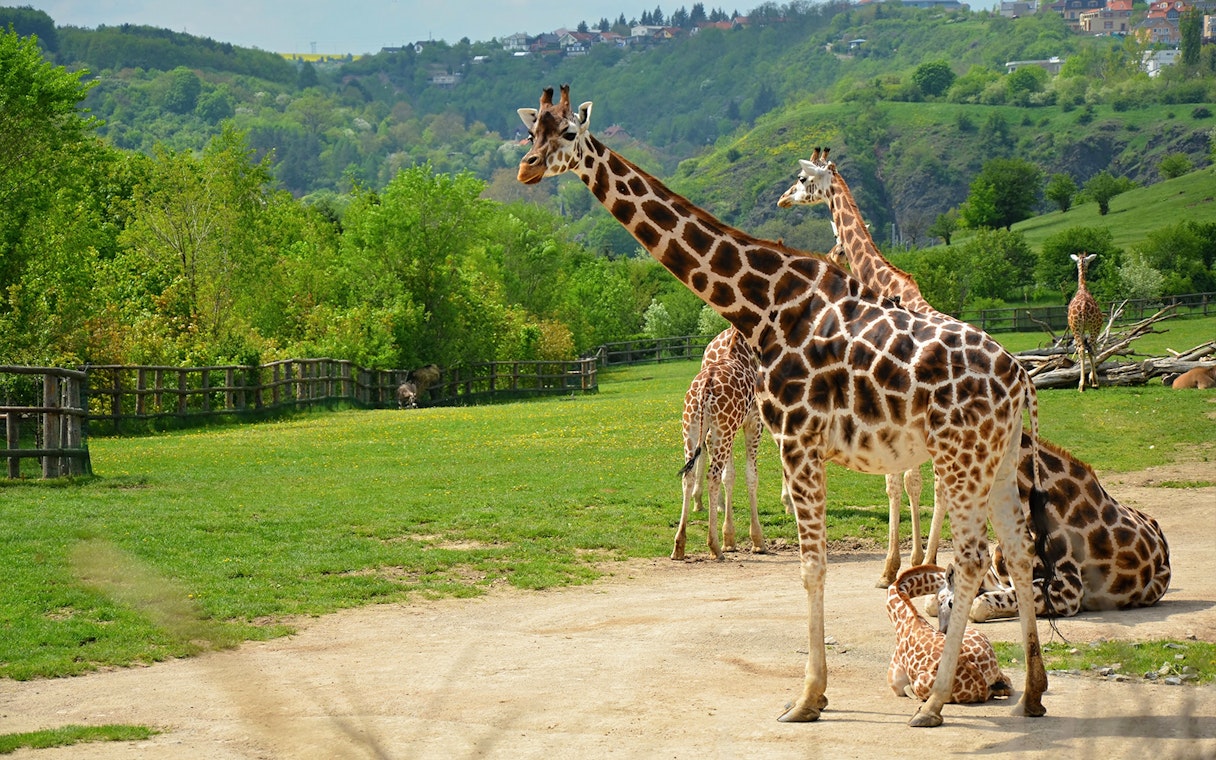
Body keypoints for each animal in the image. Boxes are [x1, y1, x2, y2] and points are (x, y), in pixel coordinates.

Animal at [673, 327, 767, 560]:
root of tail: (704, 390)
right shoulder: (753, 423)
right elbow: (751, 476)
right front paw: (757, 541)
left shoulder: (730, 429)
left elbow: (730, 475)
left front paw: (730, 539)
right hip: (721, 432)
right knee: (712, 476)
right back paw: (713, 545)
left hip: (692, 430)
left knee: (688, 475)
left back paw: (679, 546)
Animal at [777, 149, 939, 589]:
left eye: (802, 178)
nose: (782, 200)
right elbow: (909, 483)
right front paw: (911, 559)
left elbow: (899, 483)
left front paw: (892, 567)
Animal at [886, 565, 1011, 704]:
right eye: (951, 603)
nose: (945, 630)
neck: (902, 618)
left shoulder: (896, 682)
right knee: (1008, 686)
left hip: (924, 687)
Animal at [1068, 253, 1103, 392]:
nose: (1087, 269)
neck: (1083, 288)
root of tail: (1083, 307)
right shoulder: (1095, 327)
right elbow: (1092, 349)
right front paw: (1093, 379)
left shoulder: (1082, 329)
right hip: (1093, 327)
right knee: (1090, 348)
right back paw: (1089, 383)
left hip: (1076, 328)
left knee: (1082, 349)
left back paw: (1082, 384)